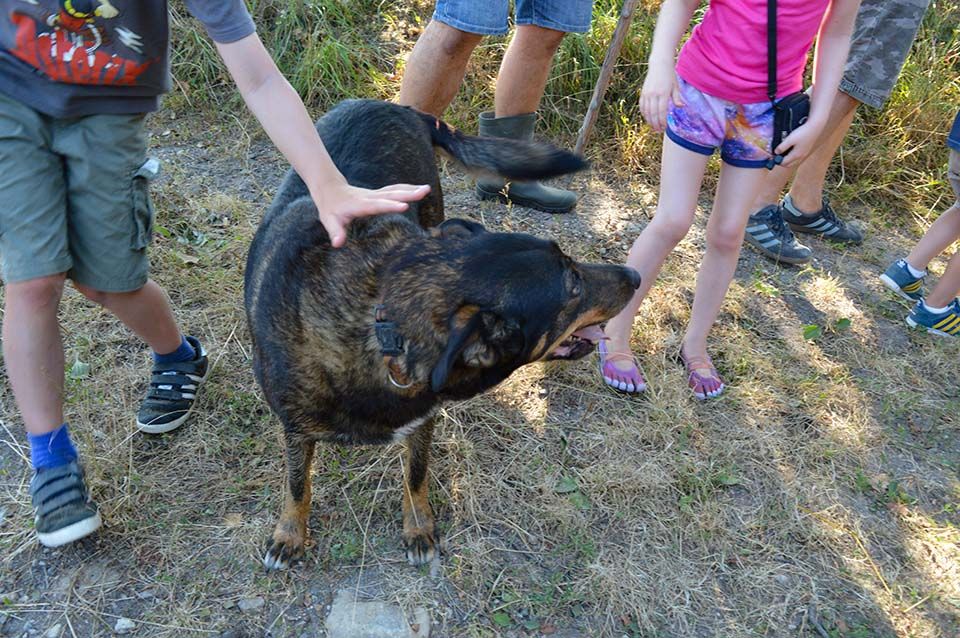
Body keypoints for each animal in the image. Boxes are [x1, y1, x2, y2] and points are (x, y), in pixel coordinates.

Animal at [244, 100, 640, 568]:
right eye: (572, 284)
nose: (635, 276)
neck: (383, 328)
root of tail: (395, 106)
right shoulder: (295, 427)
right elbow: (297, 483)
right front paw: (289, 535)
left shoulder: (422, 418)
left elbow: (416, 473)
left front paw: (418, 526)